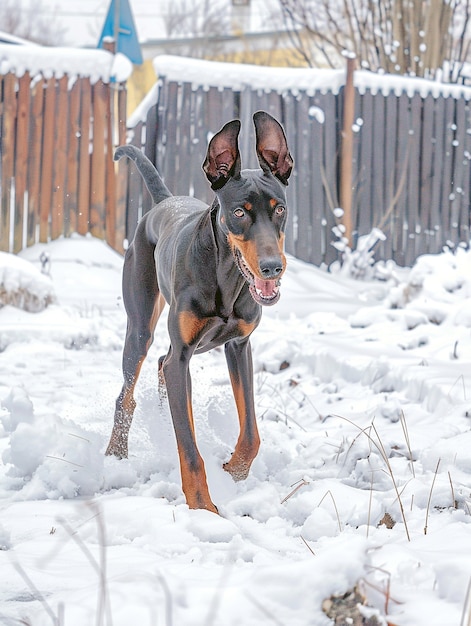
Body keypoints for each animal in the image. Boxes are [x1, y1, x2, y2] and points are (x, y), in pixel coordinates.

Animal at [105, 111, 294, 512]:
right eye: (239, 212)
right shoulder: (184, 358)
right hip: (140, 327)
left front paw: (234, 470)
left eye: (280, 209)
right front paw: (204, 509)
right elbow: (189, 451)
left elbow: (252, 433)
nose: (272, 267)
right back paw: (116, 453)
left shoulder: (239, 347)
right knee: (129, 391)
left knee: (162, 364)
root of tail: (163, 201)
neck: (226, 277)